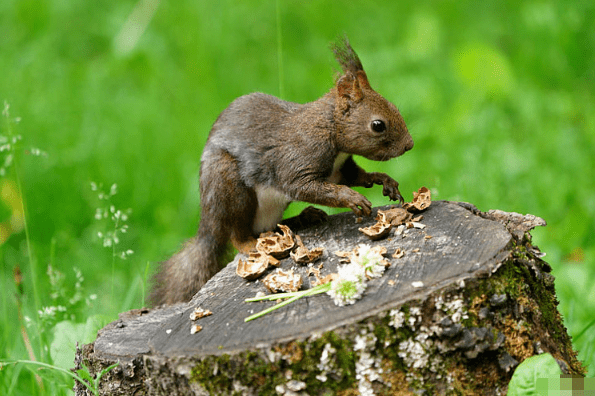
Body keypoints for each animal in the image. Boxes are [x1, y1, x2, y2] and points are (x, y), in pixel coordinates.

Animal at [150, 37, 414, 304]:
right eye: (378, 125)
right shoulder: (297, 160)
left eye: (394, 106)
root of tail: (208, 225)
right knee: (237, 232)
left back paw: (304, 217)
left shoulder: (339, 170)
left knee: (267, 227)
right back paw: (251, 243)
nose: (409, 145)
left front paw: (384, 180)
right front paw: (352, 198)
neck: (328, 127)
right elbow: (306, 186)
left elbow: (355, 176)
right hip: (229, 187)